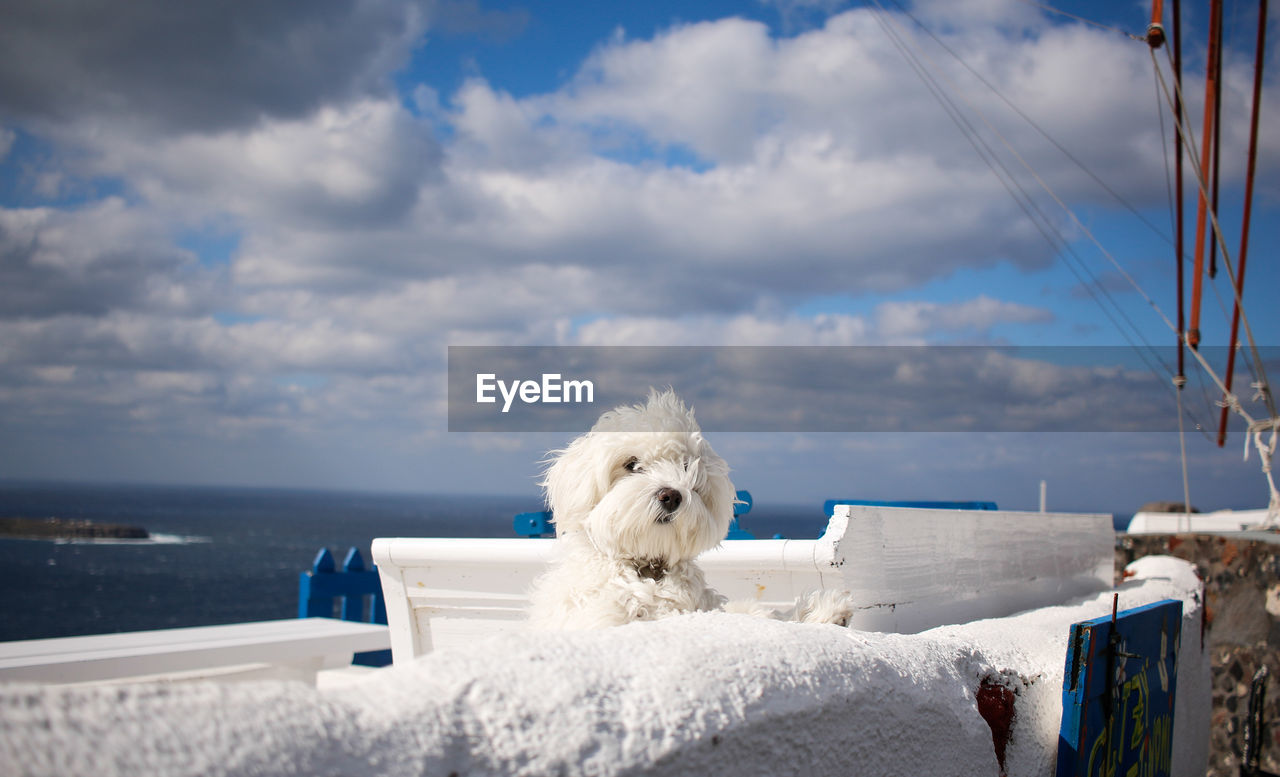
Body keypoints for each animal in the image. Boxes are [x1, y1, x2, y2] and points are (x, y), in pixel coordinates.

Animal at [524, 389, 855, 632]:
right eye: (631, 464)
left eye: (686, 466)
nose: (671, 496)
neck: (649, 570)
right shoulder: (607, 617)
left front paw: (820, 612)